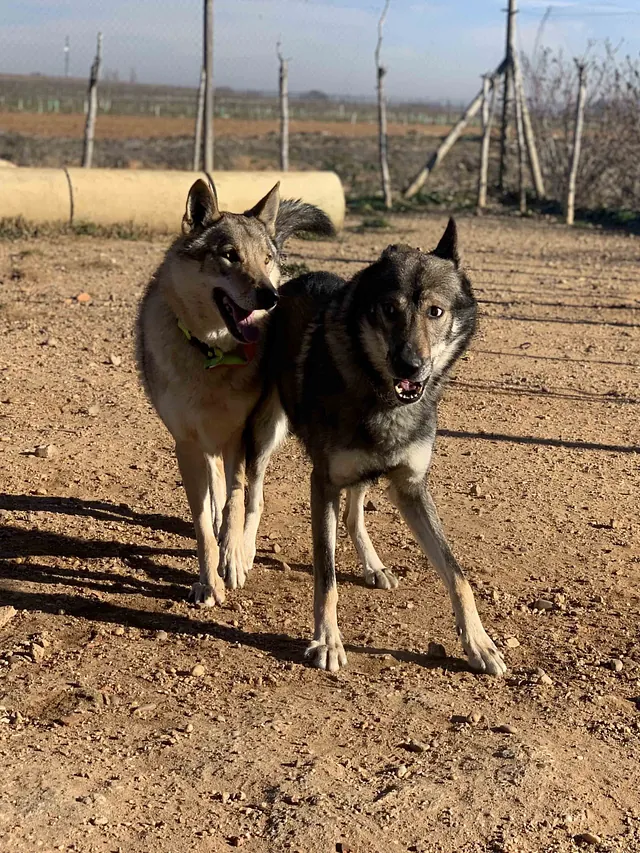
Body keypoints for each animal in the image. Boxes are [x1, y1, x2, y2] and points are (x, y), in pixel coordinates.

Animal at [137, 178, 332, 604]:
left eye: (266, 259)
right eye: (230, 256)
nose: (270, 296)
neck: (211, 356)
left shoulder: (240, 436)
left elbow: (236, 503)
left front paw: (233, 559)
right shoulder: (187, 443)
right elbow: (203, 524)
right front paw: (208, 581)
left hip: (263, 433)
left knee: (253, 497)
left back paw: (246, 548)